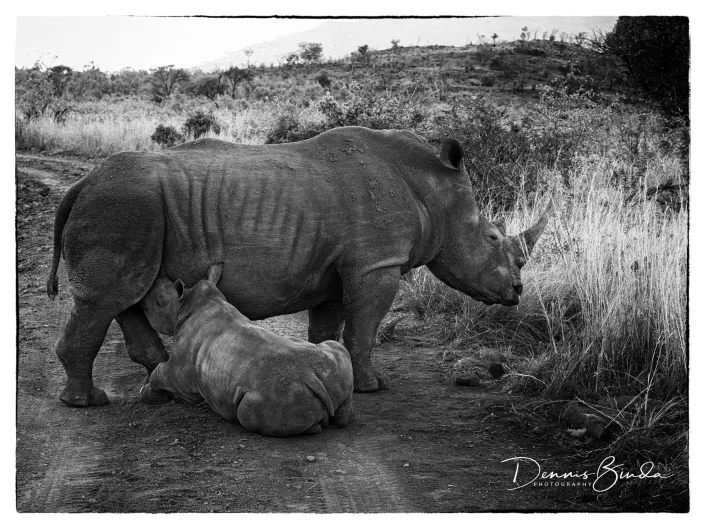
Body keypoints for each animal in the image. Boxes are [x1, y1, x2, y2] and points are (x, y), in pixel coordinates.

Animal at [47, 126, 553, 407]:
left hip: (129, 208)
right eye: (492, 239)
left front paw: (335, 373)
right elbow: (364, 328)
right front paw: (373, 387)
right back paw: (88, 404)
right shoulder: (376, 264)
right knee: (103, 300)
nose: (517, 291)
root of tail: (82, 182)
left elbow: (330, 327)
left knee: (125, 296)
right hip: (125, 206)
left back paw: (155, 383)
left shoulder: (340, 270)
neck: (432, 187)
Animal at [139, 263, 354, 437]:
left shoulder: (181, 373)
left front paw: (146, 393)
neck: (185, 306)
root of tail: (312, 379)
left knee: (246, 414)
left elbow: (162, 372)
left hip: (276, 396)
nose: (142, 303)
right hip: (329, 365)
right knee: (336, 351)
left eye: (157, 303)